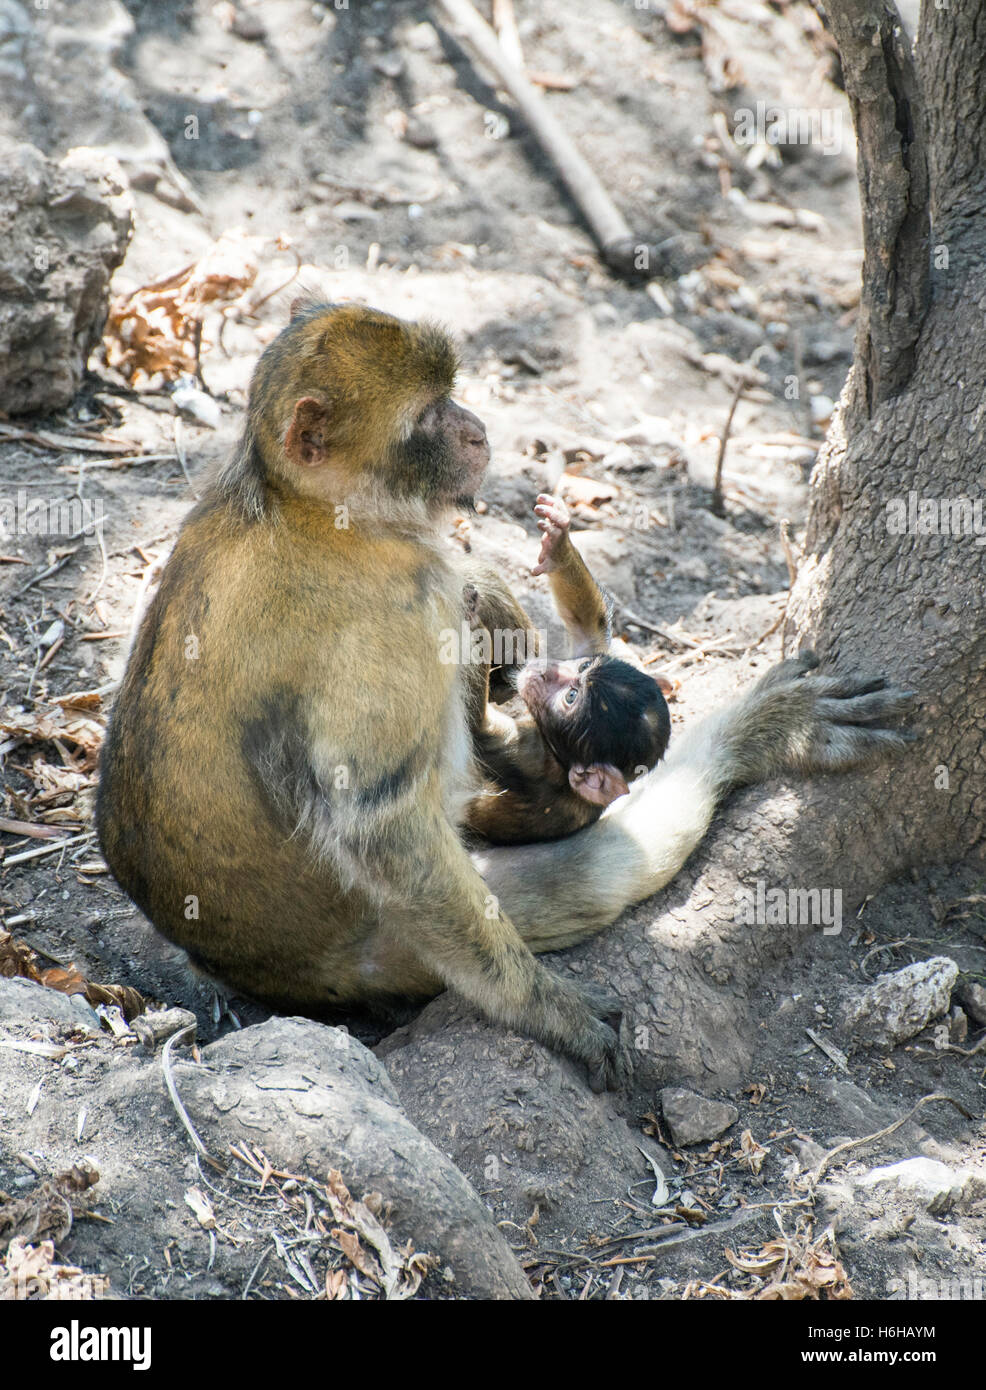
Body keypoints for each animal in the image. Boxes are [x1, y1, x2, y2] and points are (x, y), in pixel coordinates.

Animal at [464, 500, 673, 845]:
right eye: (583, 666)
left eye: (571, 697)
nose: (549, 671)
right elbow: (588, 626)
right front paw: (558, 542)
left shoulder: (533, 760)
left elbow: (477, 729)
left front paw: (469, 621)